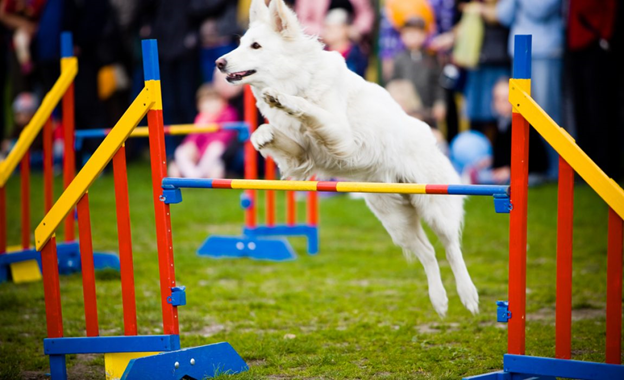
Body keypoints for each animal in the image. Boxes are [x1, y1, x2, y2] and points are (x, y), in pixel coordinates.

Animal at [217, 0, 480, 316]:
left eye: (255, 46)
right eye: (240, 43)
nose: (219, 63)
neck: (300, 78)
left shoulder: (341, 135)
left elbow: (308, 108)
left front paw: (285, 100)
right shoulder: (301, 157)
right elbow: (274, 134)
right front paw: (261, 136)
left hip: (435, 207)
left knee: (452, 249)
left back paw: (468, 295)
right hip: (396, 221)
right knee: (428, 253)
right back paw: (439, 300)